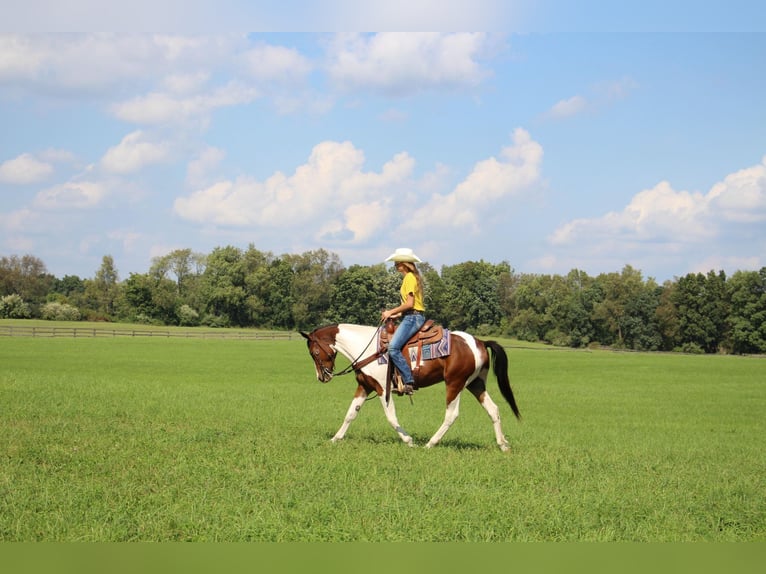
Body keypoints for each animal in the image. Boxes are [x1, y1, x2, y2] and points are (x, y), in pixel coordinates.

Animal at [300, 326, 520, 452]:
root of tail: (480, 342)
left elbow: (391, 418)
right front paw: (335, 438)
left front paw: (409, 440)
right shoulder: (365, 386)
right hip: (476, 384)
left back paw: (430, 444)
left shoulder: (382, 389)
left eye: (314, 352)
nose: (322, 377)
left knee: (451, 414)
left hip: (455, 383)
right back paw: (503, 445)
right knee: (493, 409)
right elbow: (350, 414)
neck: (368, 348)